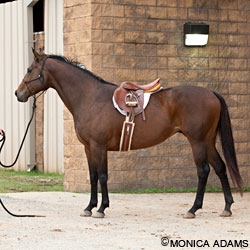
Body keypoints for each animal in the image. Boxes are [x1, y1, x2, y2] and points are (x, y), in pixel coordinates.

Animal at [15, 50, 242, 219]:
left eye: (29, 69)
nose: (18, 93)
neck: (89, 97)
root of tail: (211, 93)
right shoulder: (88, 148)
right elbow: (93, 177)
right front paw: (89, 207)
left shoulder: (99, 147)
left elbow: (103, 176)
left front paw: (101, 208)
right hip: (208, 141)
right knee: (221, 168)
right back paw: (227, 207)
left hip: (197, 142)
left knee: (203, 171)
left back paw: (193, 209)